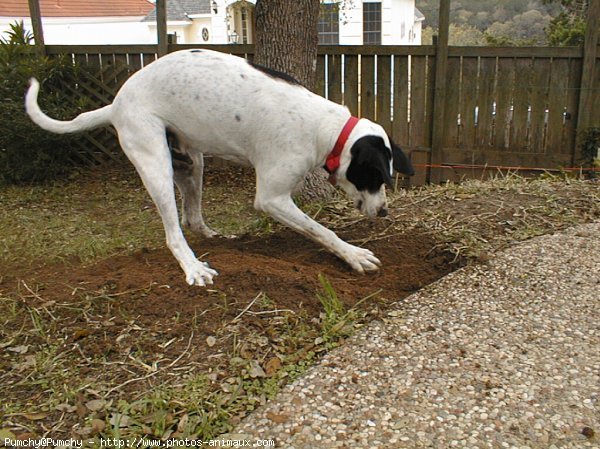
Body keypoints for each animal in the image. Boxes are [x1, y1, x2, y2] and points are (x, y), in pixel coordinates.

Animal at [25, 50, 414, 288]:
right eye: (375, 177)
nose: (384, 212)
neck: (326, 129)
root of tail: (116, 104)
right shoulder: (272, 198)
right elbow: (322, 230)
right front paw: (353, 255)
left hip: (191, 163)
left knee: (191, 217)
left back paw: (216, 238)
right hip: (156, 164)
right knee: (173, 231)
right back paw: (193, 266)